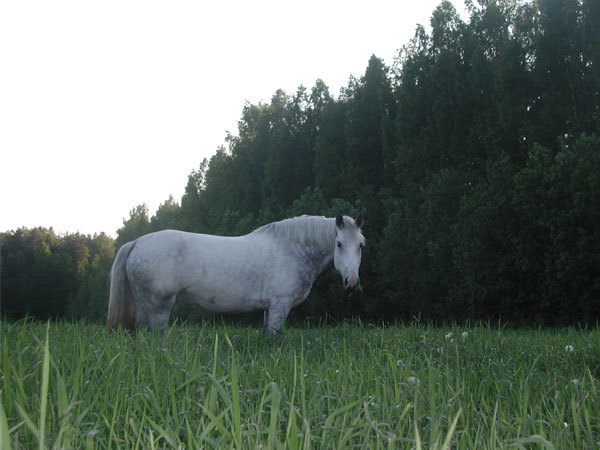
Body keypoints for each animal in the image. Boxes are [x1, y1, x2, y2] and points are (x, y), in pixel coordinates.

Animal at [105, 212, 364, 334]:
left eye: (361, 245)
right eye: (339, 243)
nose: (351, 282)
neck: (291, 248)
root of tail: (137, 242)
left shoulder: (269, 308)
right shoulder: (280, 304)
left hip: (143, 305)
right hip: (160, 306)